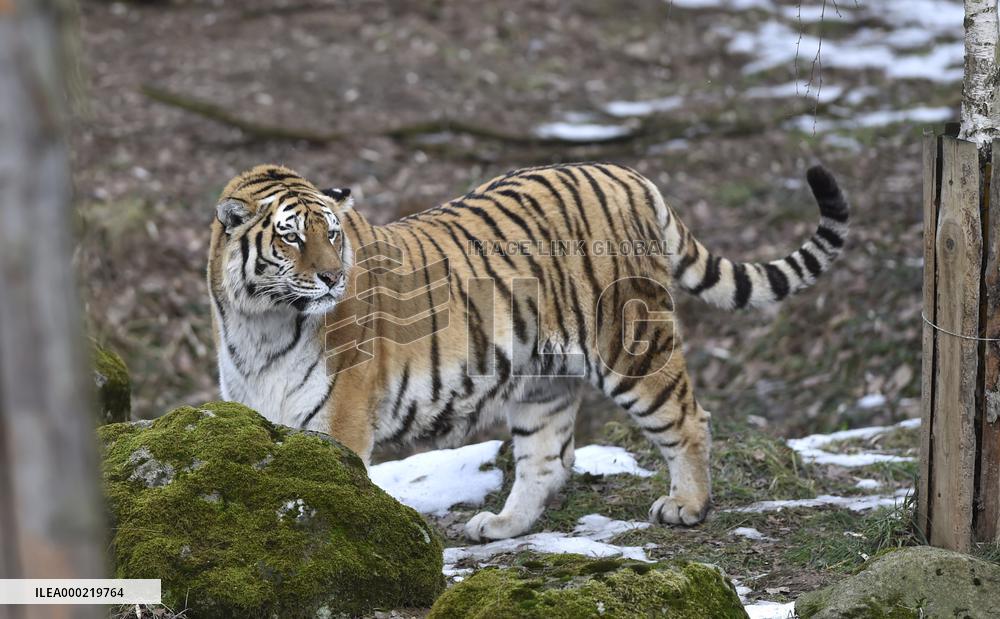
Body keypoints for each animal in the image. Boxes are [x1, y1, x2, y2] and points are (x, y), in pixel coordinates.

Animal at [208, 162, 848, 541]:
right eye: (292, 237)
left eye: (333, 233)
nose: (334, 277)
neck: (261, 321)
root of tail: (627, 174)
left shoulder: (341, 419)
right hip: (543, 378)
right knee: (547, 460)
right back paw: (502, 524)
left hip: (631, 347)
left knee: (689, 418)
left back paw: (687, 506)